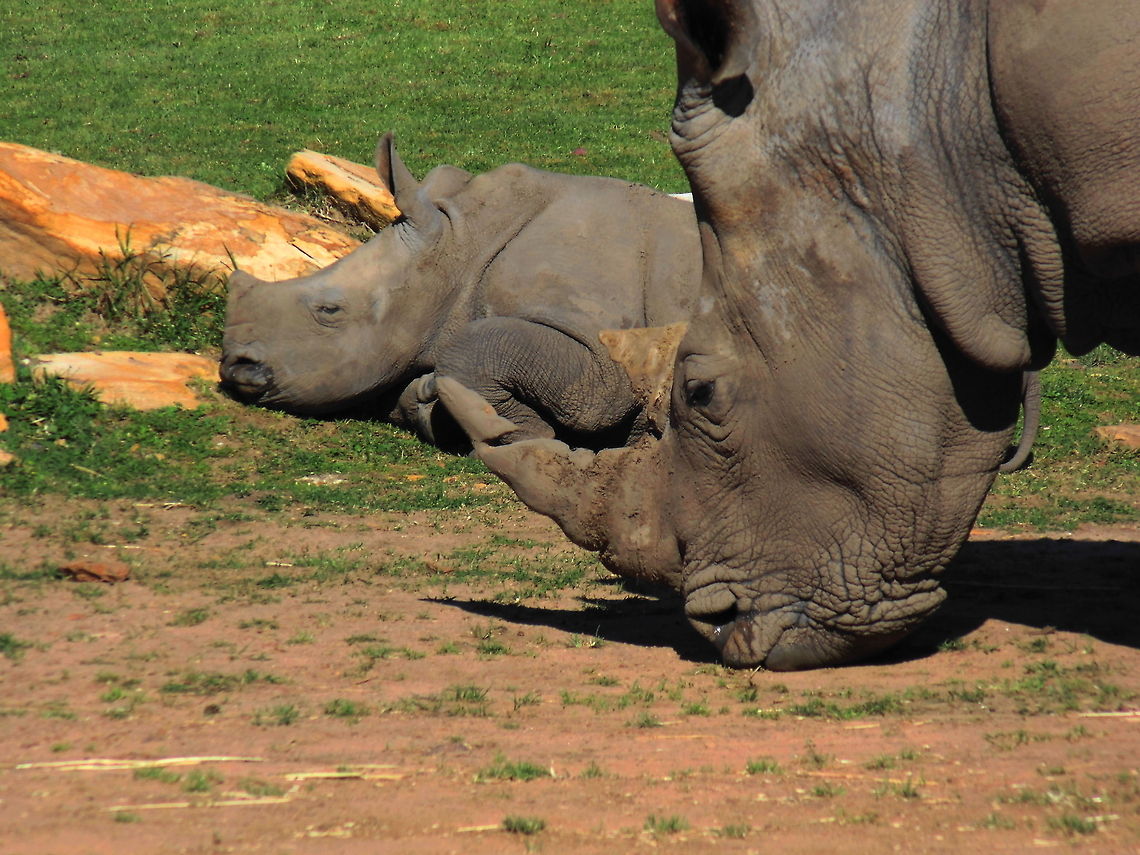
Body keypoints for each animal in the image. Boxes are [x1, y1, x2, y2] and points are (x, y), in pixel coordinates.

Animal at [220, 133, 700, 449]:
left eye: (329, 310)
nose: (235, 366)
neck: (461, 246)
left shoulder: (608, 354)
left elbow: (491, 352)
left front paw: (524, 434)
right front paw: (431, 397)